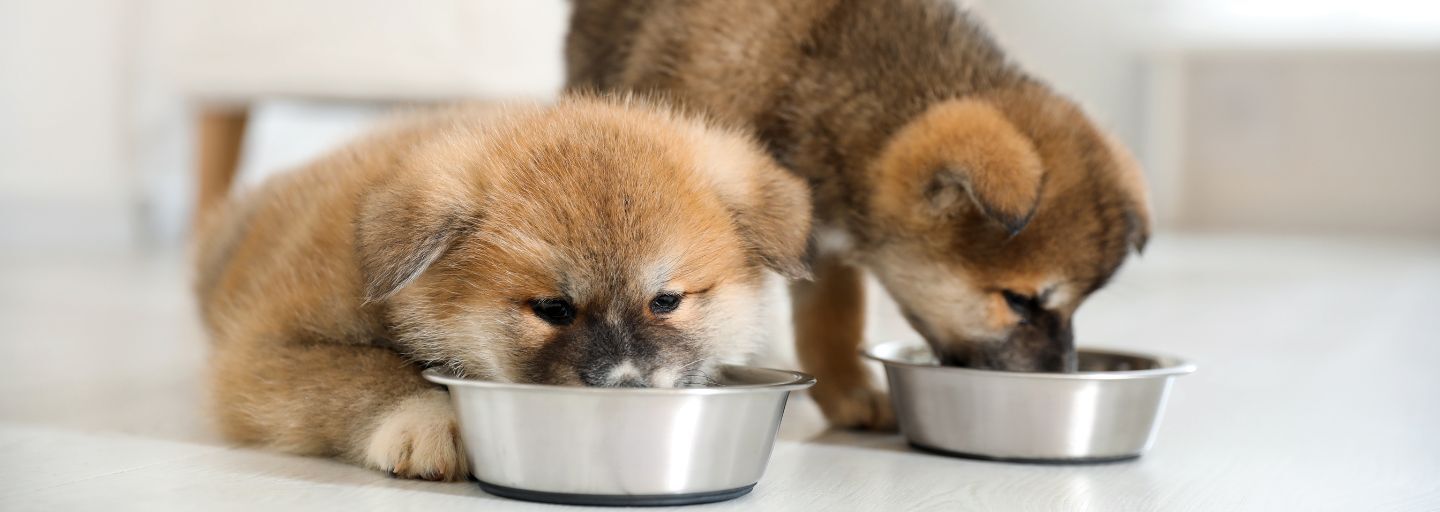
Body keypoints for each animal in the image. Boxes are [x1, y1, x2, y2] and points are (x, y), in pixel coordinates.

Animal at [194, 97, 812, 483]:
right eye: (553, 309)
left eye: (666, 301)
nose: (627, 389)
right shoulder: (265, 353)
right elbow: (371, 372)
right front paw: (429, 418)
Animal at [567, 0, 1152, 428]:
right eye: (1018, 301)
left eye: (1078, 304)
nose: (1061, 376)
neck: (809, 77)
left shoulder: (822, 248)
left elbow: (831, 324)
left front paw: (848, 394)